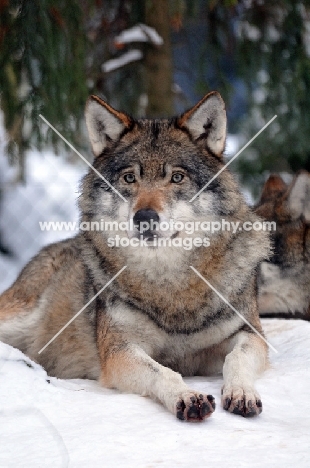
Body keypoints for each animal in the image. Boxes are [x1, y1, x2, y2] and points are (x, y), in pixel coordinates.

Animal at [0, 91, 268, 420]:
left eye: (177, 177)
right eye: (130, 178)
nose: (145, 218)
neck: (170, 285)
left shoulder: (250, 333)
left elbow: (237, 358)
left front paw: (242, 393)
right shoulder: (120, 351)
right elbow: (163, 372)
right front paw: (187, 396)